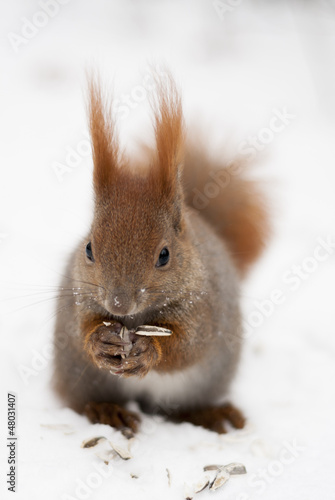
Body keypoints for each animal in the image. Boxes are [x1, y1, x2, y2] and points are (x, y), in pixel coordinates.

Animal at [52, 72, 270, 436]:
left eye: (164, 255)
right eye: (89, 249)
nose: (118, 304)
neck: (134, 320)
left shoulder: (204, 311)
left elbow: (186, 347)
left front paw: (148, 350)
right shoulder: (80, 297)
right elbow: (82, 328)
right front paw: (100, 341)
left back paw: (210, 414)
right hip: (78, 375)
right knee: (82, 401)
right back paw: (107, 410)